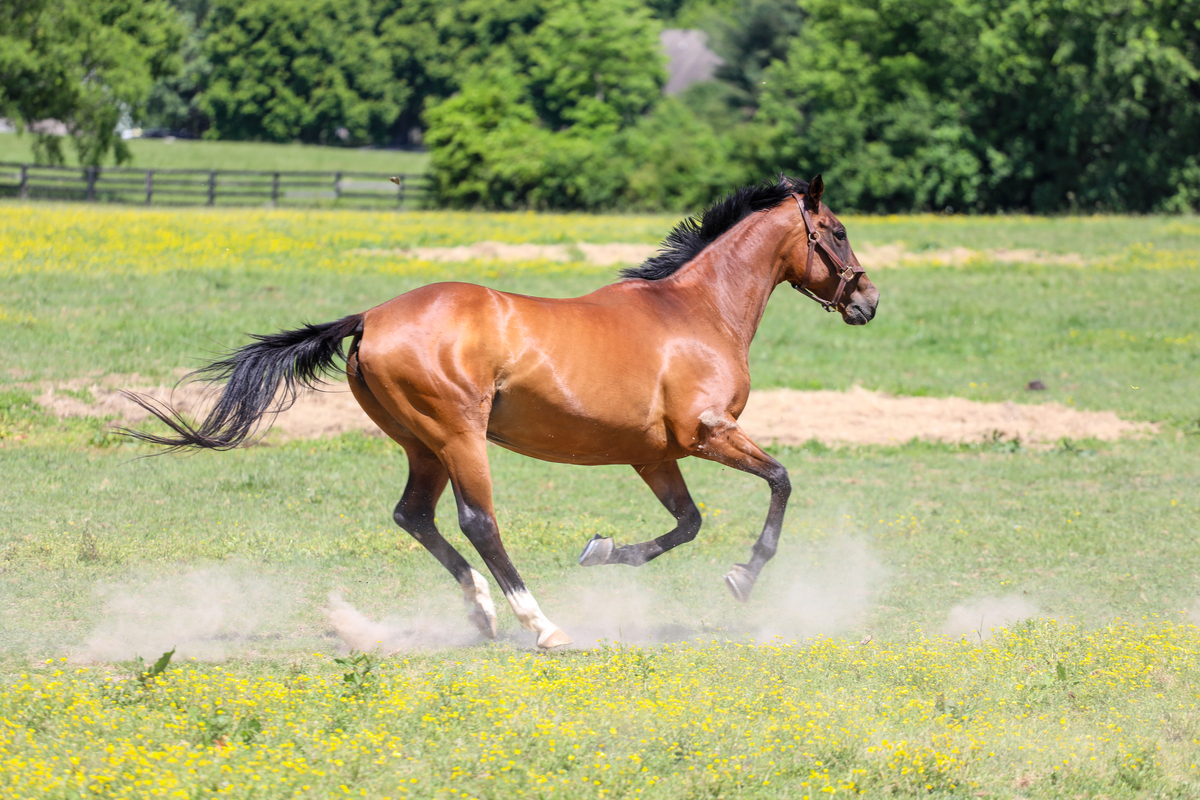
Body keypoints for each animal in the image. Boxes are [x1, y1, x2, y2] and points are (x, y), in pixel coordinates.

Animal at [124, 174, 879, 649]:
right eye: (837, 231)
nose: (868, 302)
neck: (695, 312)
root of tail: (369, 318)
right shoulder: (706, 434)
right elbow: (780, 481)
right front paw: (743, 578)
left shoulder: (653, 455)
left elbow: (687, 524)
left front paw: (602, 551)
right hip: (461, 437)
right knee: (478, 522)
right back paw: (540, 626)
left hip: (422, 445)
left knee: (414, 517)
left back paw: (481, 612)